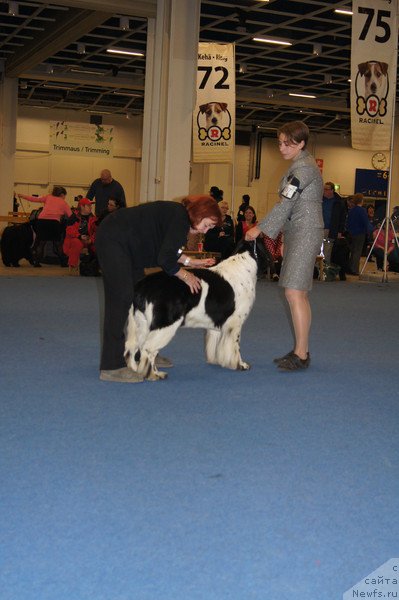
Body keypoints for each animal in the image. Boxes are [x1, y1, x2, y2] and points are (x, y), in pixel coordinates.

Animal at [125, 238, 272, 380]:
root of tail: (143, 286)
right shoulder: (235, 322)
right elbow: (235, 346)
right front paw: (240, 365)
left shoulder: (217, 324)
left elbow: (215, 345)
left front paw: (217, 361)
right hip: (165, 324)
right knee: (147, 349)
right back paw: (154, 374)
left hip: (141, 323)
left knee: (131, 347)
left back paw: (135, 371)